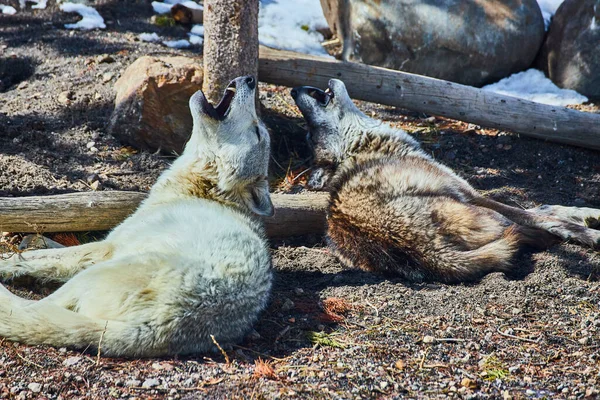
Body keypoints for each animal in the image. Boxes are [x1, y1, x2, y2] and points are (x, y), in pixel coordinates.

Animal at [0, 75, 274, 356]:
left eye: (257, 132)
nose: (250, 80)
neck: (198, 191)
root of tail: (155, 330)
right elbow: (50, 249)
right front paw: (32, 243)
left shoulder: (106, 248)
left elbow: (41, 258)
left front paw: (10, 262)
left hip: (98, 271)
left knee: (34, 308)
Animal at [292, 79, 600, 282]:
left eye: (308, 132)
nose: (294, 91)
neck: (367, 145)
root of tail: (428, 253)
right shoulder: (473, 194)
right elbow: (546, 215)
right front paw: (589, 230)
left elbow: (548, 207)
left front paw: (588, 214)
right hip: (484, 213)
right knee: (522, 231)